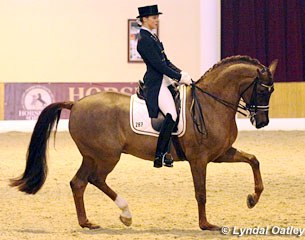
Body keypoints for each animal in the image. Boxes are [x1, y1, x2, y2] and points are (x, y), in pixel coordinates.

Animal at [10, 55, 278, 231]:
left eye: (271, 91)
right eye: (262, 91)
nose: (262, 122)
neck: (211, 104)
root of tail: (75, 104)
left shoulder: (221, 154)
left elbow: (253, 160)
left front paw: (253, 199)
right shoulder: (199, 160)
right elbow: (200, 192)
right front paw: (205, 224)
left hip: (91, 156)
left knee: (78, 183)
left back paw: (87, 222)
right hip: (108, 156)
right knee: (95, 179)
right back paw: (126, 214)